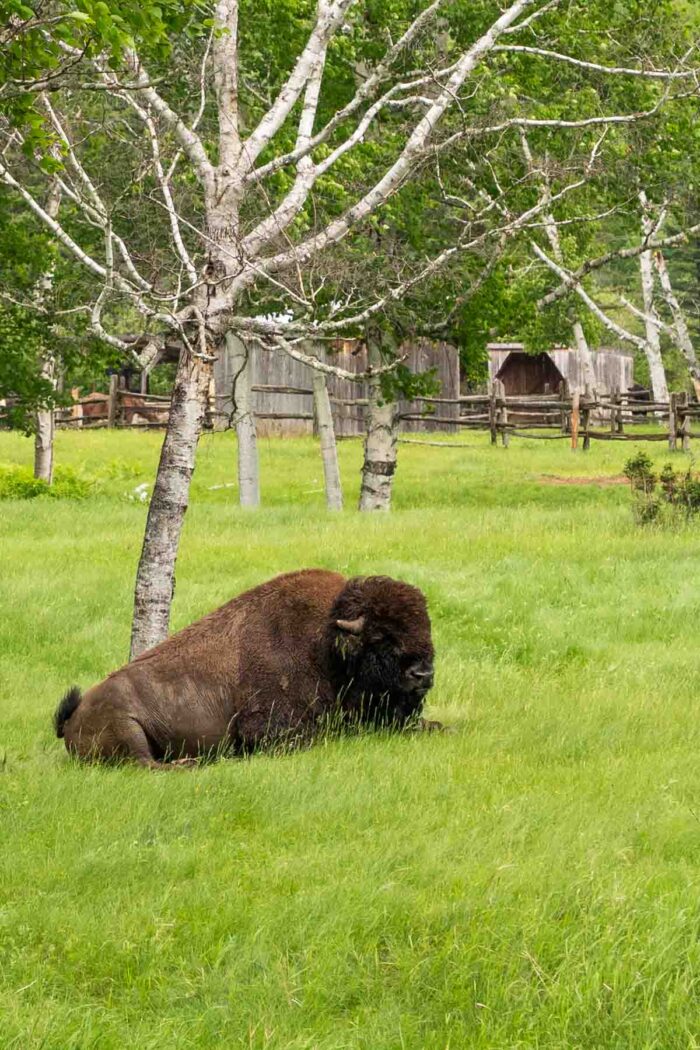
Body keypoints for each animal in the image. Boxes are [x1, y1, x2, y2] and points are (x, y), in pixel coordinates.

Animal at [54, 569, 438, 767]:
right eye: (381, 637)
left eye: (426, 627)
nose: (423, 675)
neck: (327, 646)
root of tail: (73, 716)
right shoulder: (273, 730)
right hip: (127, 728)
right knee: (146, 765)